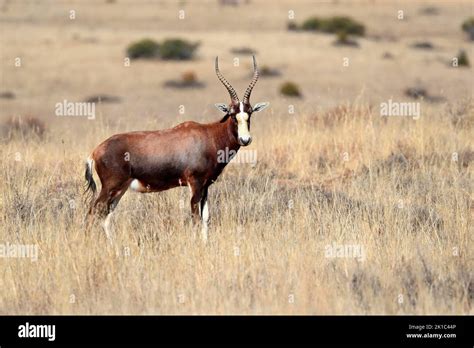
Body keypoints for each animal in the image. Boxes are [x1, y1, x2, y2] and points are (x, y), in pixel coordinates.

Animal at [85, 57, 268, 242]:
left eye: (250, 112)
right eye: (232, 114)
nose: (245, 139)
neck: (208, 135)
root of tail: (95, 152)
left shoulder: (206, 186)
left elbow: (206, 217)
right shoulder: (195, 183)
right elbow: (195, 216)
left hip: (120, 189)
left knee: (105, 217)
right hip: (111, 187)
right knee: (93, 212)